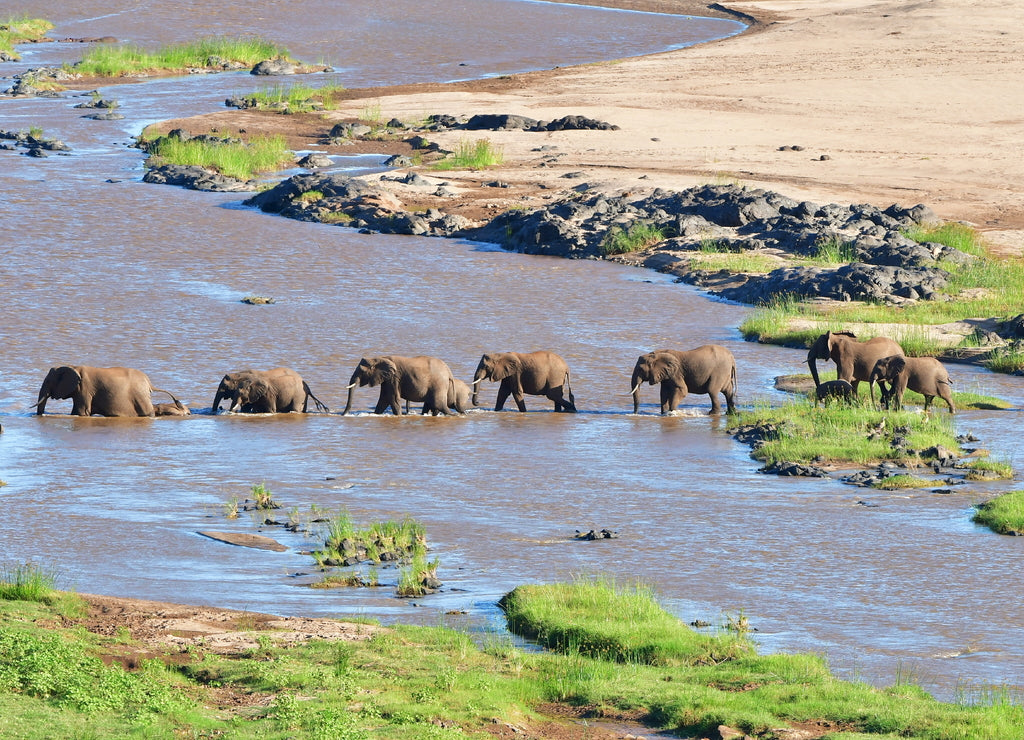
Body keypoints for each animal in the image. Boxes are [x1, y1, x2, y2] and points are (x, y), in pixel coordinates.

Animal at [35, 365, 185, 417]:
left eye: (48, 382)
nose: (40, 416)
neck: (73, 367)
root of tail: (150, 383)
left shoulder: (84, 389)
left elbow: (81, 412)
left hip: (140, 396)